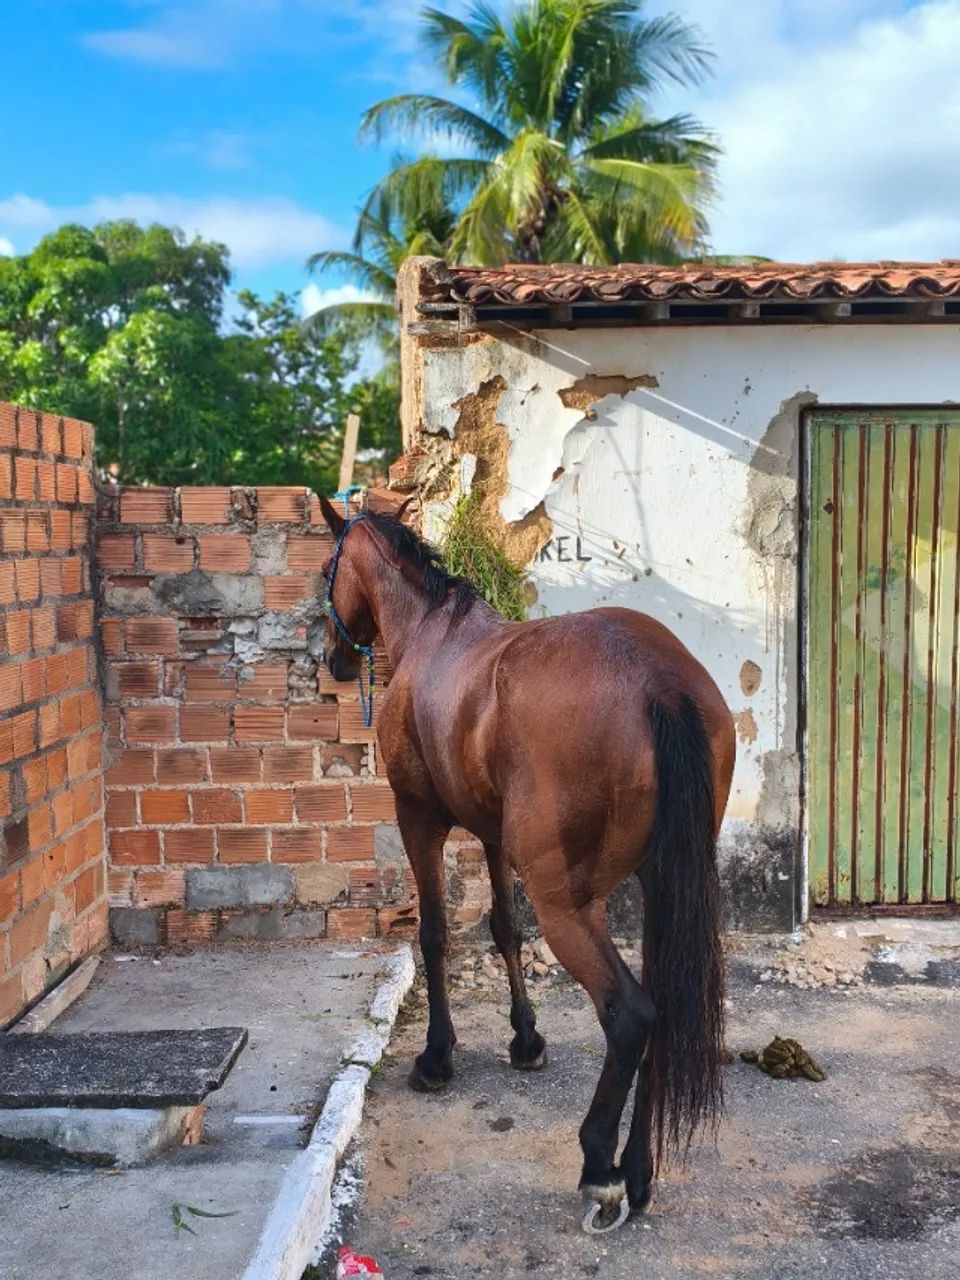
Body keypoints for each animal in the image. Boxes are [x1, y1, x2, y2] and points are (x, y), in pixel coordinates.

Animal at [317, 495, 735, 1233]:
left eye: (326, 570)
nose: (332, 659)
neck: (431, 633)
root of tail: (658, 683)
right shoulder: (489, 835)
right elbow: (505, 930)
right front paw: (526, 1039)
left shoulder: (419, 820)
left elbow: (434, 934)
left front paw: (437, 1055)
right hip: (661, 893)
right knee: (662, 1007)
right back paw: (640, 1170)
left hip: (570, 906)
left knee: (631, 1013)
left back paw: (601, 1167)